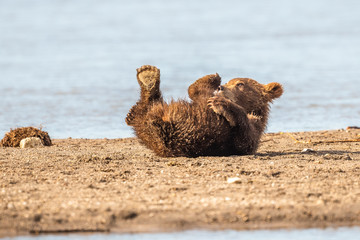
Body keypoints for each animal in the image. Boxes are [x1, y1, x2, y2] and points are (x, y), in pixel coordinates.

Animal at [125, 65, 282, 158]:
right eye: (228, 82)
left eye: (240, 84)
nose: (221, 87)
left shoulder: (246, 134)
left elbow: (245, 139)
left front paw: (222, 104)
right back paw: (147, 75)